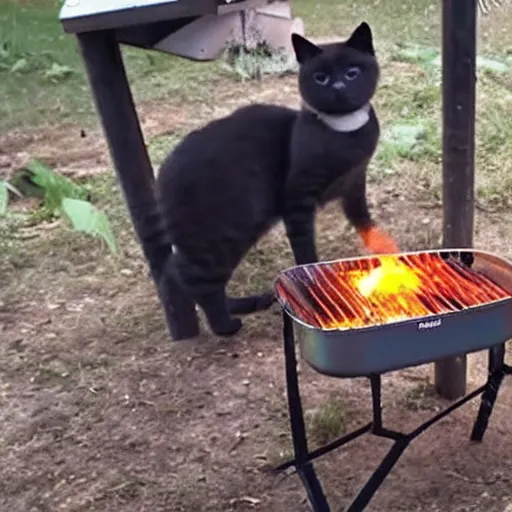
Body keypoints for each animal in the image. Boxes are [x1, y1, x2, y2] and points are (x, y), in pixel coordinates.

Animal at [154, 22, 398, 338]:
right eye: (320, 78)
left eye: (352, 72)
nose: (338, 87)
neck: (343, 134)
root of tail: (164, 170)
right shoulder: (297, 199)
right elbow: (305, 247)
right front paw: (314, 284)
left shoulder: (355, 182)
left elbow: (364, 221)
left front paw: (383, 246)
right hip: (230, 226)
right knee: (195, 280)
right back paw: (225, 325)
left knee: (176, 271)